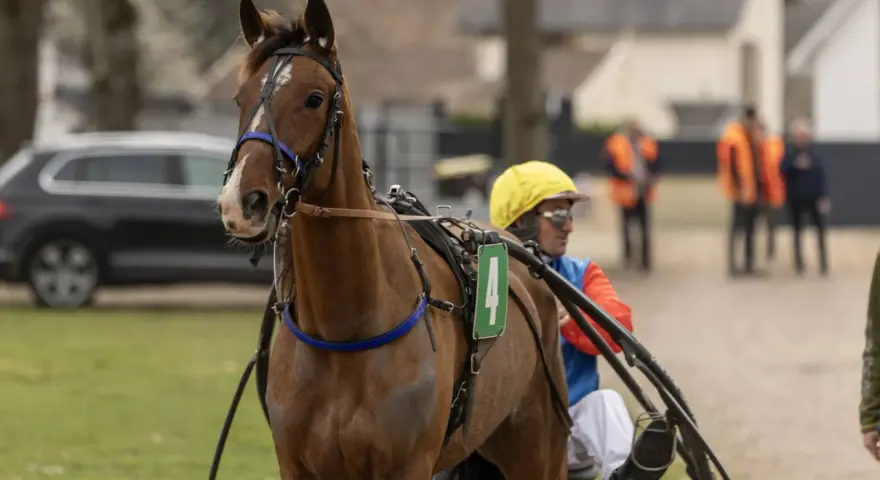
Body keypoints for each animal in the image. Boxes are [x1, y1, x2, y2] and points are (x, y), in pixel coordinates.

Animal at [215, 0, 571, 478]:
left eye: (313, 98)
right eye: (240, 97)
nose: (242, 201)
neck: (344, 332)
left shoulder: (409, 463)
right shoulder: (296, 464)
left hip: (538, 442)